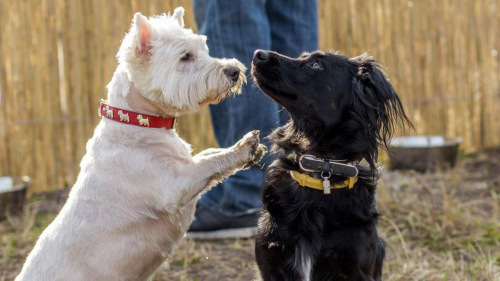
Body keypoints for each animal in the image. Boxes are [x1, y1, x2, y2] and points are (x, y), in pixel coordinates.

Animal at [16, 7, 266, 280]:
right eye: (185, 56)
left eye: (204, 48)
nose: (234, 71)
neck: (140, 123)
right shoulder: (174, 185)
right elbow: (210, 163)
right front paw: (243, 148)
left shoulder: (185, 164)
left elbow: (209, 154)